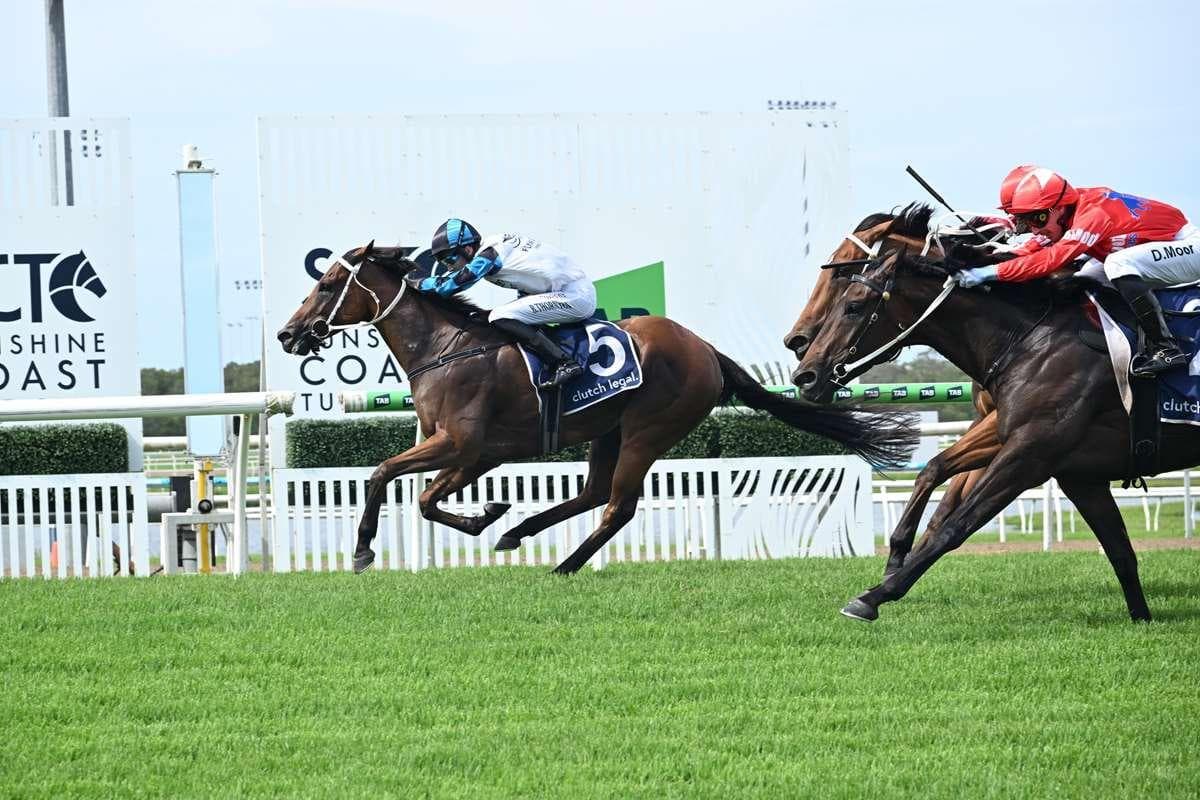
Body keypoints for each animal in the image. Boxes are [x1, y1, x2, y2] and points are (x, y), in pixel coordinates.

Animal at [277, 243, 919, 575]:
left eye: (327, 283)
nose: (288, 333)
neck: (447, 348)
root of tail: (704, 348)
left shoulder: (460, 443)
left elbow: (386, 475)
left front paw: (363, 549)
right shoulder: (478, 453)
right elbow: (428, 498)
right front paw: (489, 516)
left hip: (646, 431)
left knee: (617, 506)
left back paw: (564, 564)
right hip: (605, 430)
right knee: (591, 494)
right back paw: (520, 532)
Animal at [792, 246, 1200, 622]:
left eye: (854, 306)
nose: (805, 375)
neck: (1029, 342)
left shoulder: (1028, 454)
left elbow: (956, 525)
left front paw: (875, 595)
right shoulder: (1070, 470)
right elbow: (1121, 552)